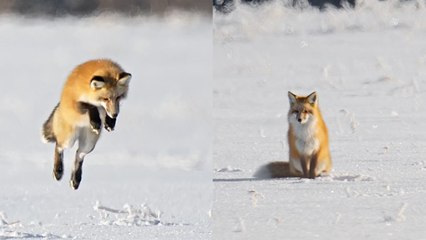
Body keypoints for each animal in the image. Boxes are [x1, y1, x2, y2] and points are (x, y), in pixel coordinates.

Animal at [42, 59, 131, 189]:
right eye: (105, 99)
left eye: (118, 97)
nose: (114, 115)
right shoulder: (75, 103)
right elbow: (91, 106)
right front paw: (96, 121)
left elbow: (106, 113)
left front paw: (110, 122)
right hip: (69, 139)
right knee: (59, 146)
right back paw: (58, 170)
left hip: (88, 144)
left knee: (79, 154)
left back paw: (75, 179)